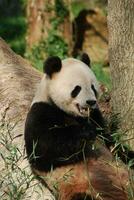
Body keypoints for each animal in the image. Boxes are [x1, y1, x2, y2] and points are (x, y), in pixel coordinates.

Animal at [24, 54, 129, 200]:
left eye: (92, 87)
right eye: (77, 88)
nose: (91, 102)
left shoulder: (95, 115)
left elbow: (109, 141)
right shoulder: (40, 112)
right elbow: (42, 149)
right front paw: (86, 132)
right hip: (80, 187)